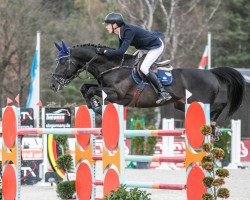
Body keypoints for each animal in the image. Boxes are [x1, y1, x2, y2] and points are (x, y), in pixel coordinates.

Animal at [49, 40, 245, 125]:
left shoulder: (117, 95)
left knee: (219, 105)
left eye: (63, 62)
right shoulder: (106, 89)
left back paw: (214, 122)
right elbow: (86, 87)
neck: (112, 66)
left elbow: (91, 90)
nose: (53, 85)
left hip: (198, 101)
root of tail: (211, 73)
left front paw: (97, 108)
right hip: (182, 104)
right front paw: (94, 106)